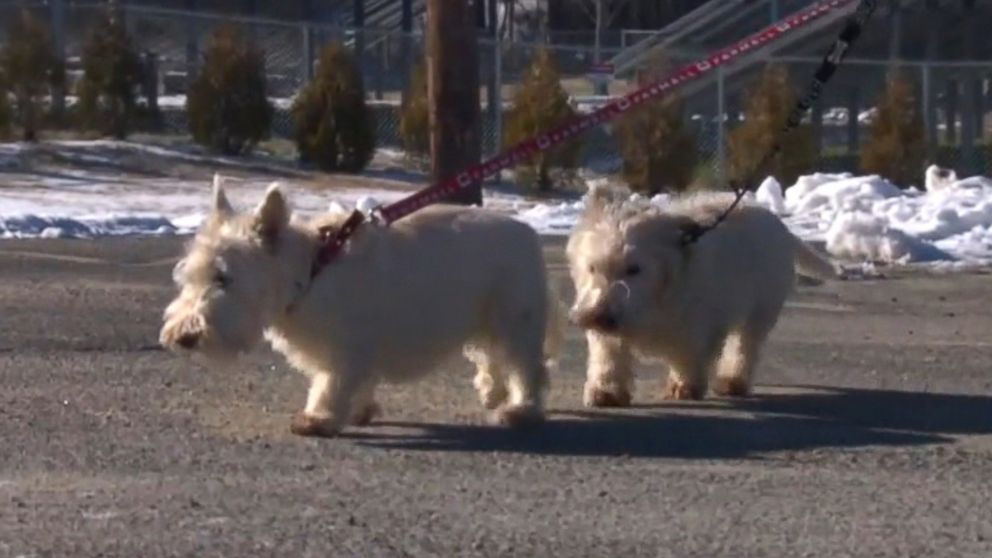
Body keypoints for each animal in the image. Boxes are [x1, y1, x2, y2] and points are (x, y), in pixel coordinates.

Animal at [164, 177, 564, 440]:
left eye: (223, 278)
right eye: (188, 277)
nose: (184, 337)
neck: (309, 274)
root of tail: (528, 234)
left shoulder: (346, 349)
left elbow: (331, 383)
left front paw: (318, 418)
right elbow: (358, 383)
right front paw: (360, 410)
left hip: (516, 320)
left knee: (526, 367)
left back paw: (520, 410)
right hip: (488, 321)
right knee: (493, 357)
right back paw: (492, 391)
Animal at [564, 188, 836, 406]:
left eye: (634, 269)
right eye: (592, 268)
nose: (598, 316)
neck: (655, 299)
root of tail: (778, 225)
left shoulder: (696, 326)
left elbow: (689, 354)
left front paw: (683, 386)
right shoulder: (610, 333)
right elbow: (608, 356)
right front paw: (605, 392)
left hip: (760, 310)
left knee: (744, 347)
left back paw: (732, 381)